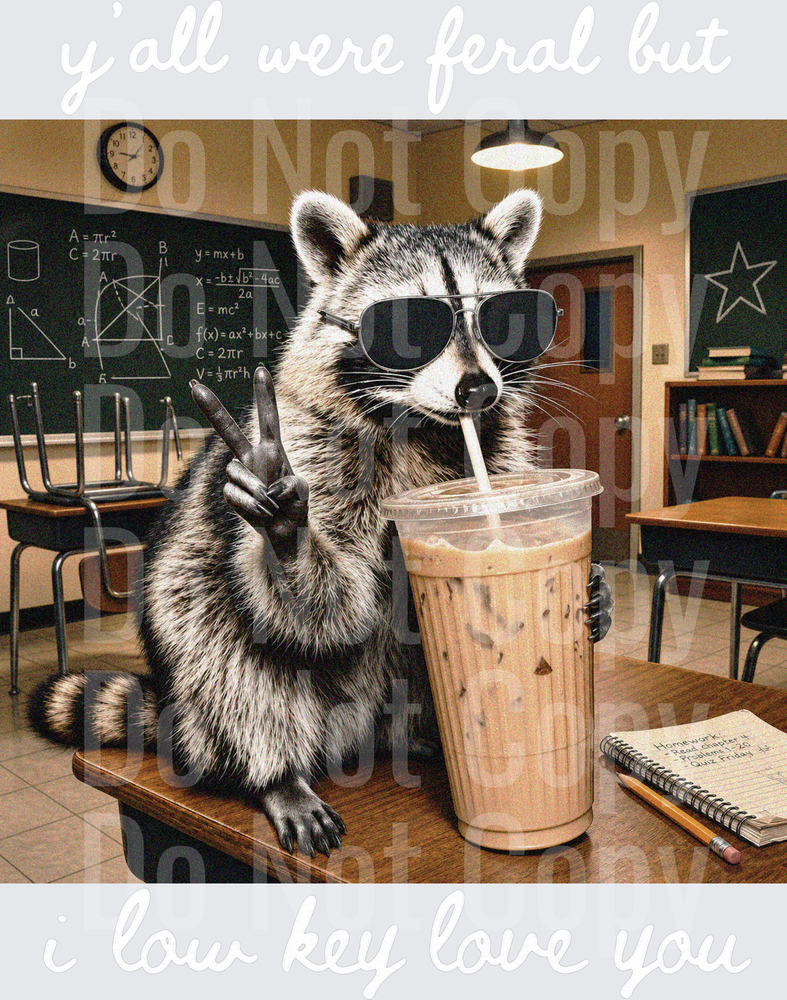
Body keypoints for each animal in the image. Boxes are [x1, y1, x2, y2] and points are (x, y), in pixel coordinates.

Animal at [28, 189, 611, 858]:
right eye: (409, 328)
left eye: (504, 320)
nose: (476, 390)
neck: (421, 425)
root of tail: (355, 731)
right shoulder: (312, 445)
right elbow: (331, 607)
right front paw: (289, 531)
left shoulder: (497, 452)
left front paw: (595, 589)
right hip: (194, 626)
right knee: (228, 660)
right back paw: (277, 773)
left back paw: (419, 738)